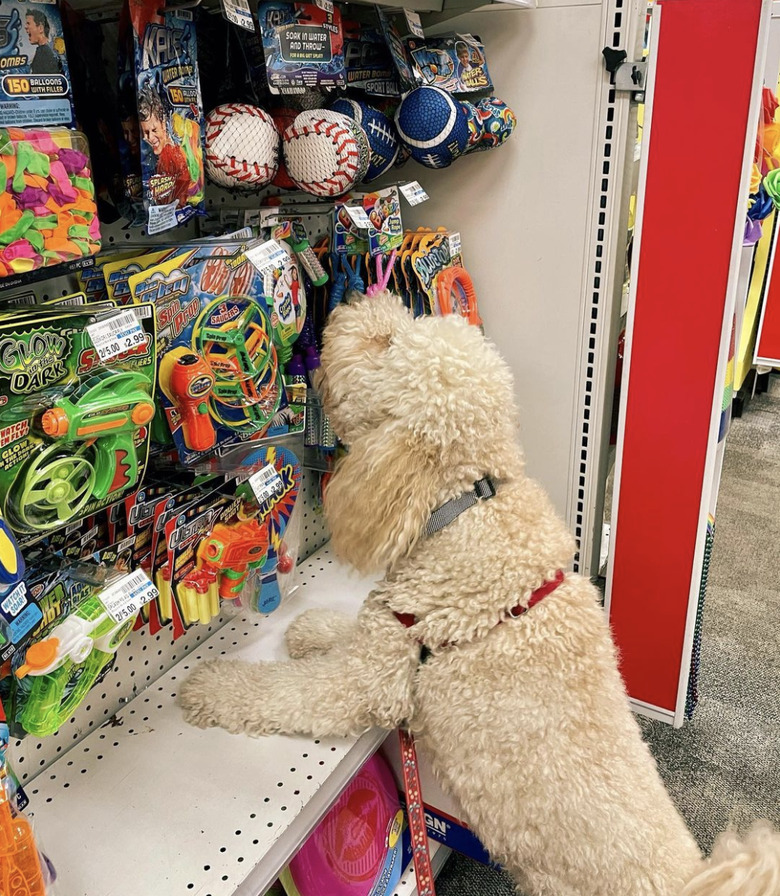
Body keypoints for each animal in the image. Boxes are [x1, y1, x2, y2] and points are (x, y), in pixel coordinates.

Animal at [180, 292, 780, 896]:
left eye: (388, 343)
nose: (355, 301)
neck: (466, 504)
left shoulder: (364, 684)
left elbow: (281, 692)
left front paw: (209, 685)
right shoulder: (391, 632)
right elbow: (345, 629)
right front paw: (311, 628)